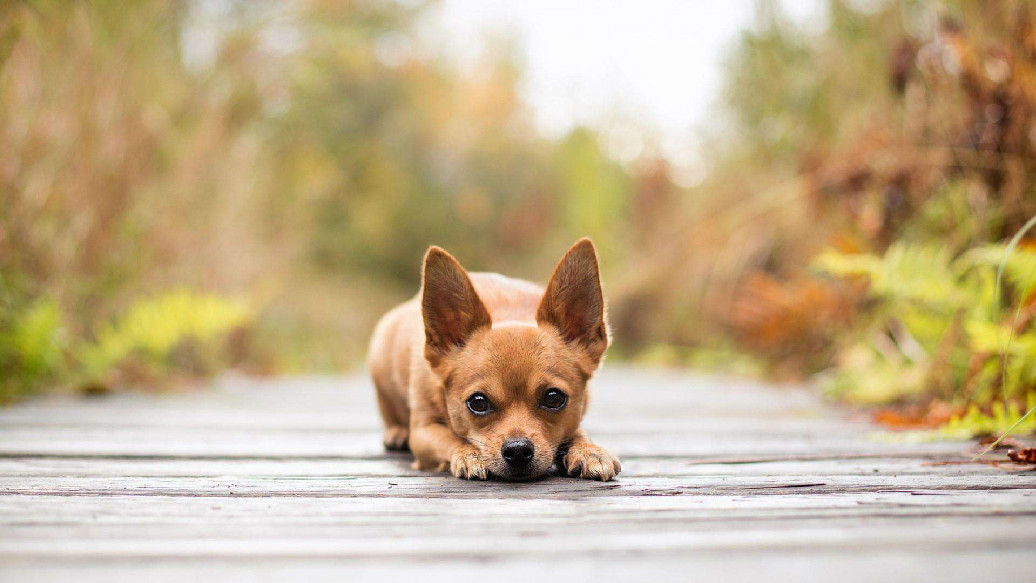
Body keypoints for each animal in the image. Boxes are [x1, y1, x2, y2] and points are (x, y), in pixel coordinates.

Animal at [368, 239, 617, 480]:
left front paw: (589, 450)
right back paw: (397, 433)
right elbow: (452, 438)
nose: (518, 449)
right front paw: (470, 454)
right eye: (478, 402)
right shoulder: (423, 431)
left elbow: (578, 431)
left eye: (554, 397)